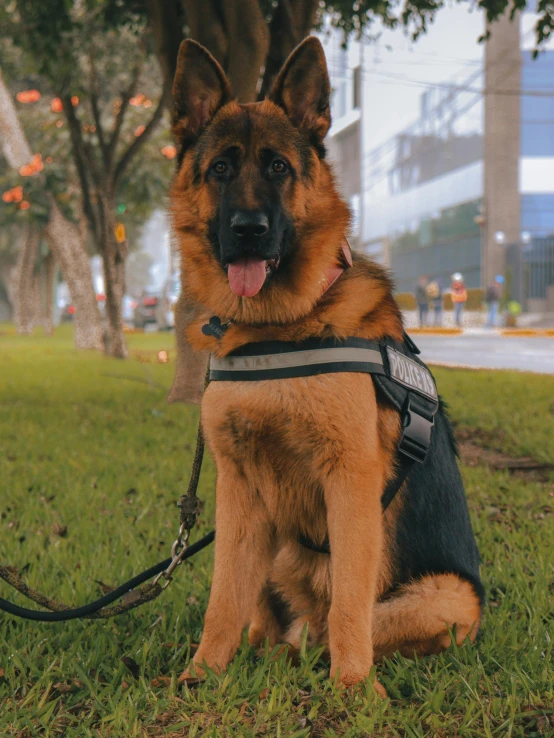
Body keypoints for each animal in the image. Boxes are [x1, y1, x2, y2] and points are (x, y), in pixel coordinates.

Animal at [167, 34, 478, 688]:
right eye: (221, 169)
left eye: (279, 168)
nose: (249, 230)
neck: (278, 329)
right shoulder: (238, 489)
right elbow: (224, 597)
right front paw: (201, 676)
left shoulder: (350, 483)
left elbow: (350, 605)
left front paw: (355, 691)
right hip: (274, 540)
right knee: (272, 616)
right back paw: (266, 651)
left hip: (447, 596)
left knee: (337, 624)